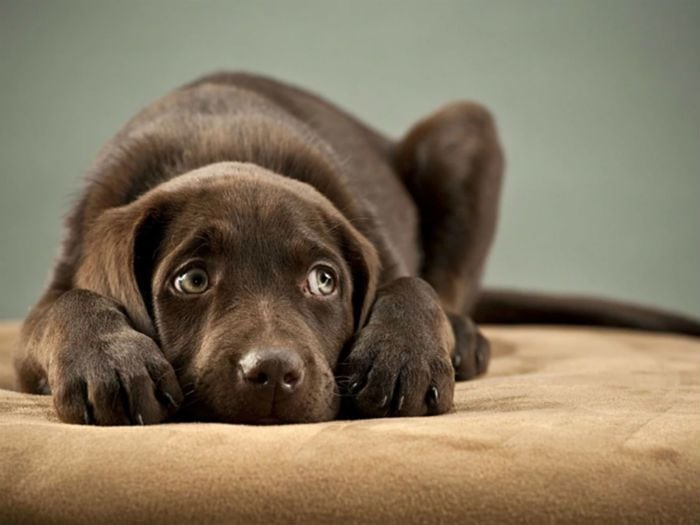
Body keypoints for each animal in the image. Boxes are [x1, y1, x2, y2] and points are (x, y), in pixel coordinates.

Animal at [15, 73, 700, 424]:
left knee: (449, 284)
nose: (273, 372)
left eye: (324, 281)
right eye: (191, 281)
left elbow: (410, 286)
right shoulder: (41, 314)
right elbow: (65, 307)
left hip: (464, 131)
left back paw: (462, 336)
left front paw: (403, 357)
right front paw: (109, 360)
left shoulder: (379, 245)